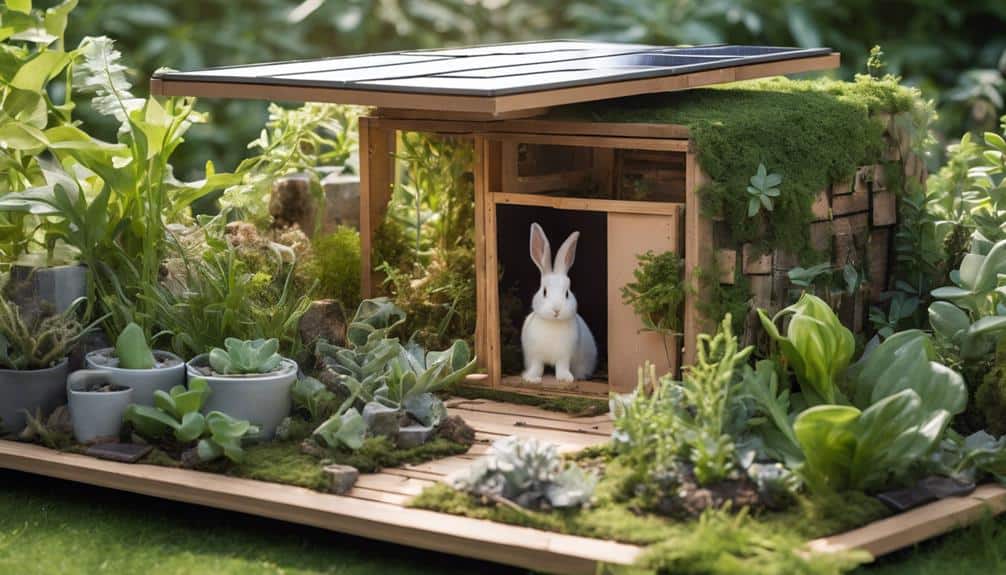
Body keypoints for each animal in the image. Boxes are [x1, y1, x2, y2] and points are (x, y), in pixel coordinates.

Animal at [521, 222, 598, 383]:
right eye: (544, 292)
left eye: (567, 293)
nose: (556, 310)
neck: (553, 323)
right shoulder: (535, 356)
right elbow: (537, 367)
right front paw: (531, 378)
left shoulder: (564, 356)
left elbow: (562, 367)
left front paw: (565, 378)